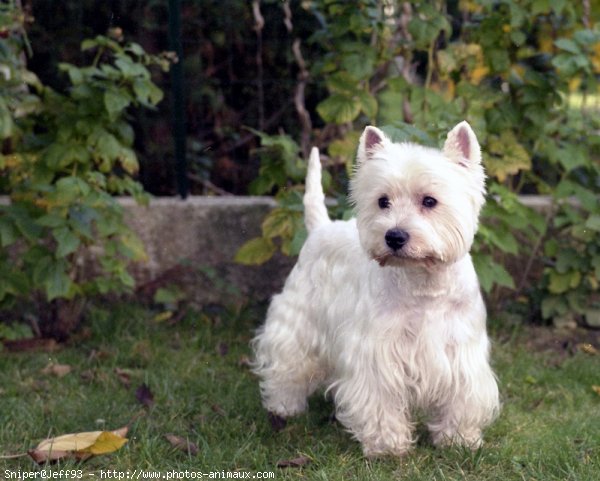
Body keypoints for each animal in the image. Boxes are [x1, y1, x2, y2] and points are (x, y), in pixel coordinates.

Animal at [251, 122, 500, 456]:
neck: (423, 284)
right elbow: (380, 400)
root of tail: (321, 227)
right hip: (297, 320)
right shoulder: (376, 353)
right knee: (287, 362)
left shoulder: (461, 352)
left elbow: (461, 396)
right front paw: (388, 444)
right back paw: (284, 406)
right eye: (383, 201)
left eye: (429, 201)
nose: (394, 236)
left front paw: (458, 438)